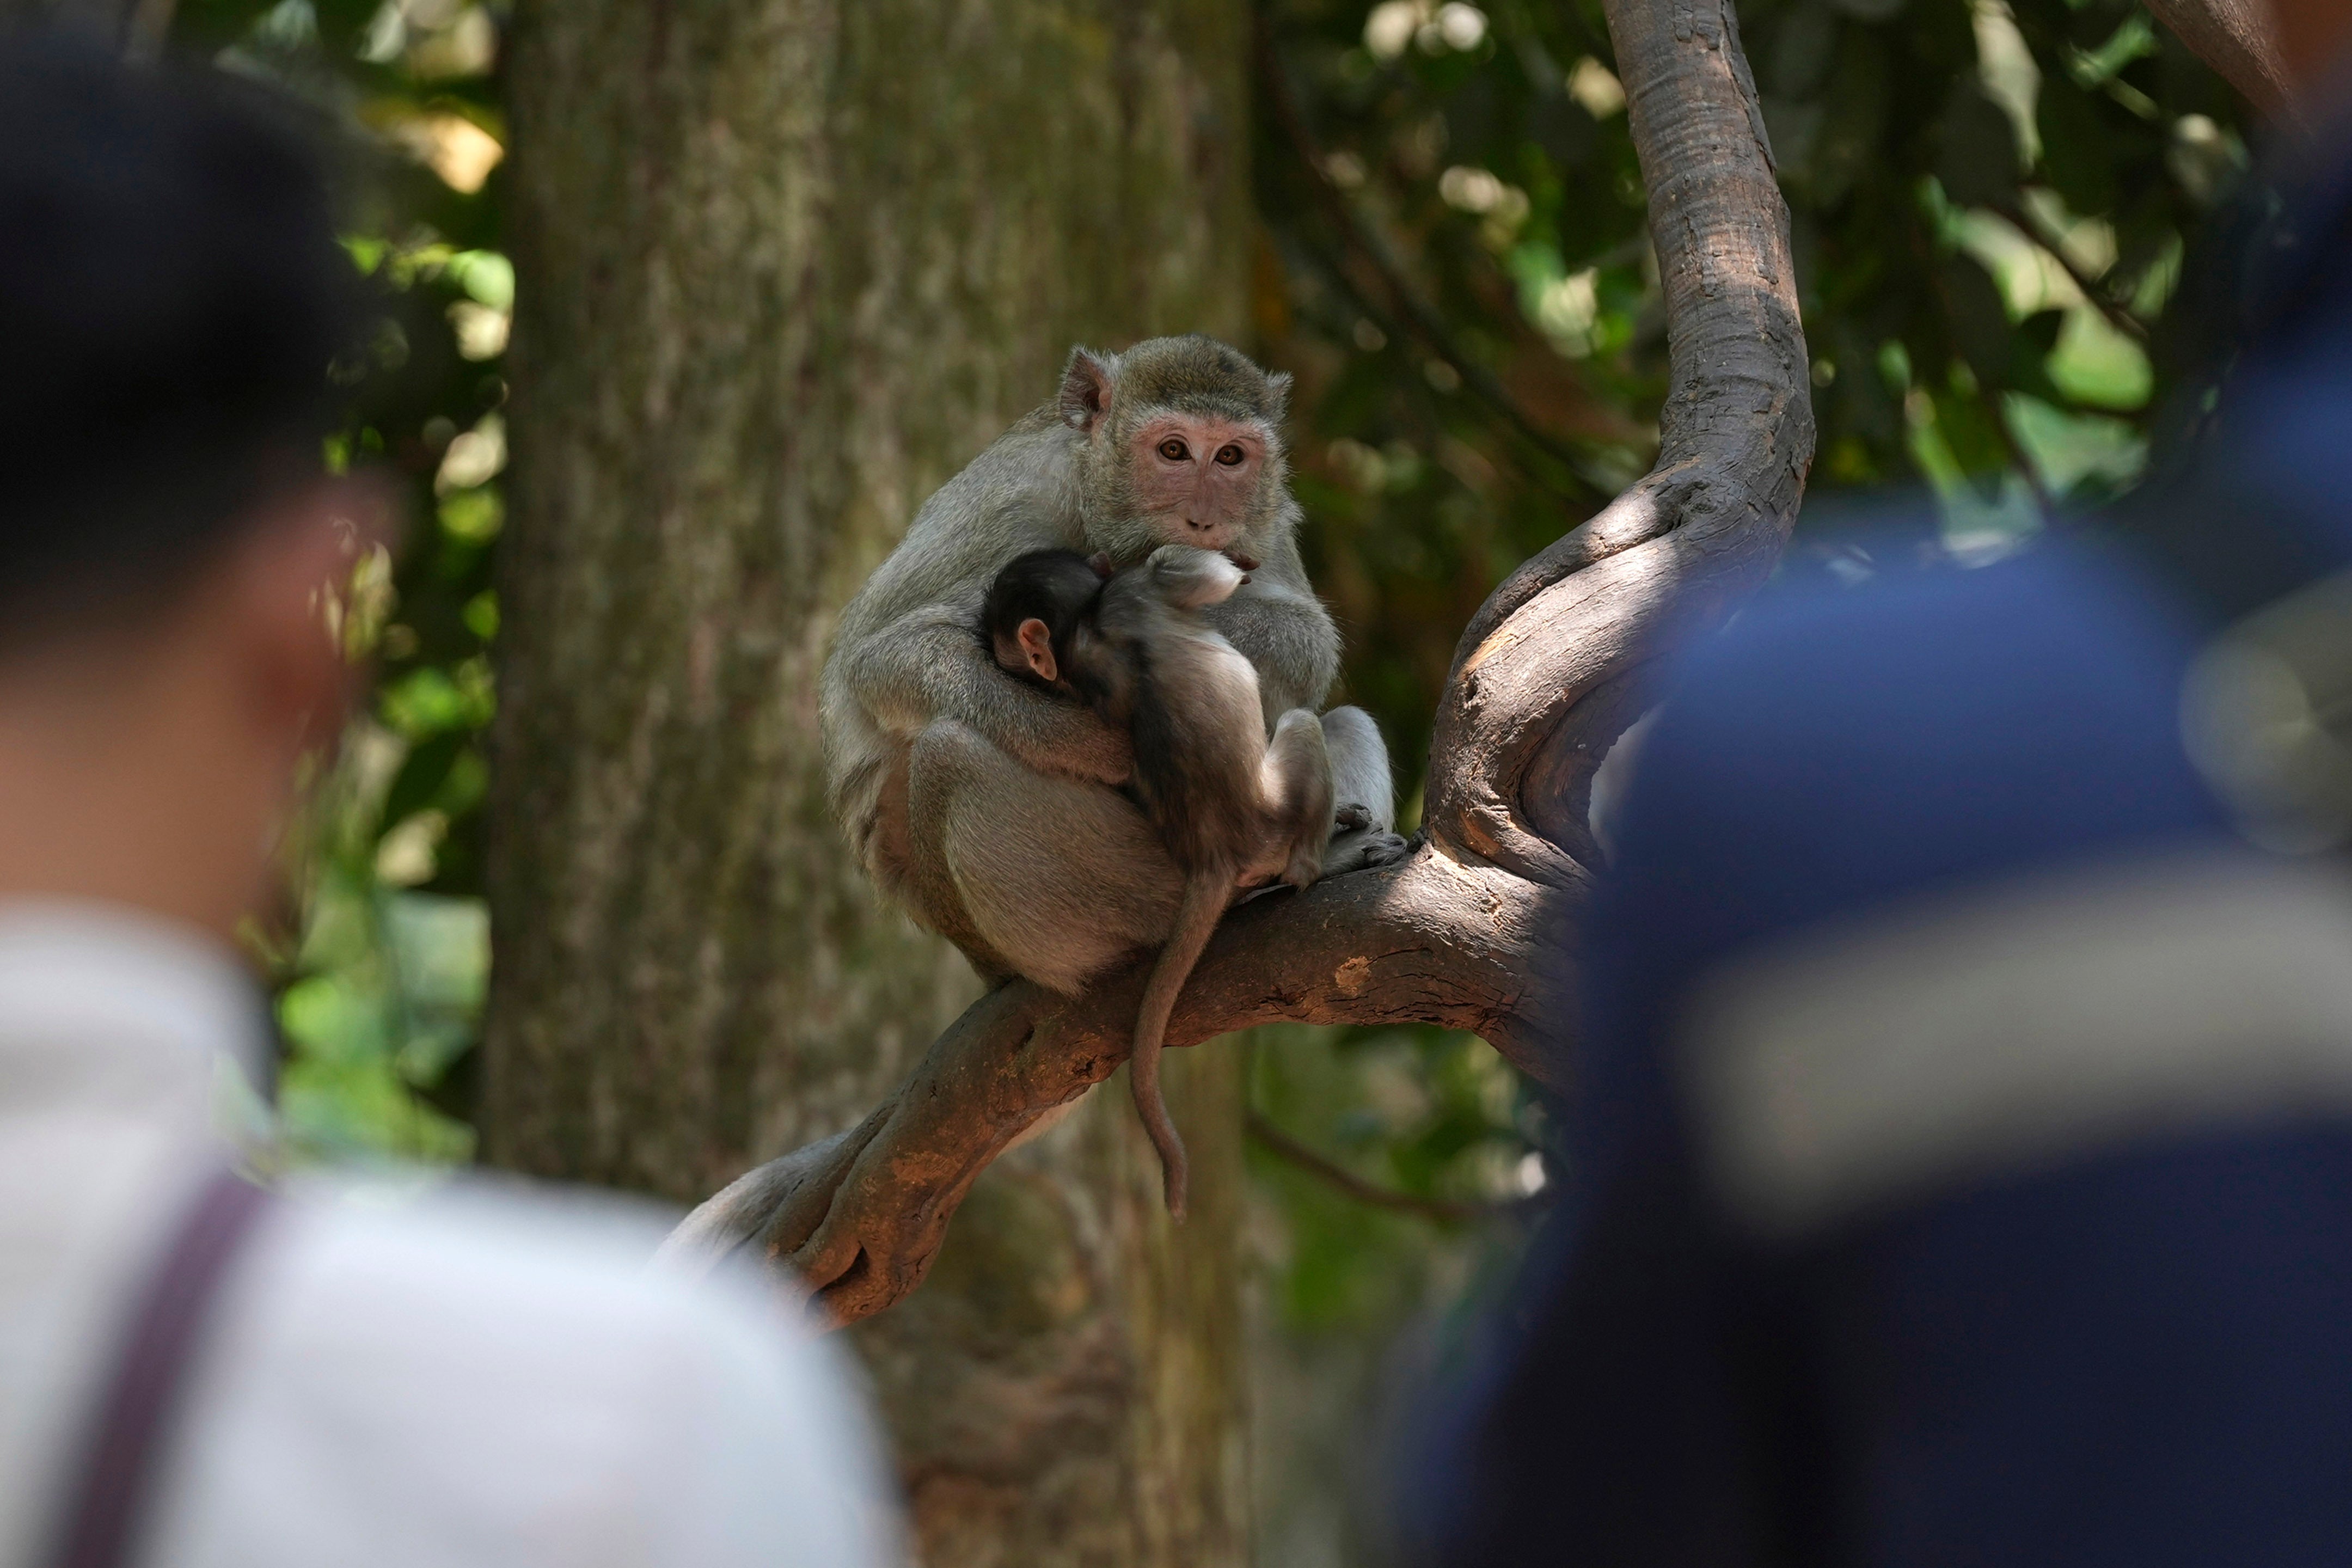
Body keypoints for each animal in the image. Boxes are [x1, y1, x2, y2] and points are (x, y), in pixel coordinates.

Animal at [823, 336, 1392, 1001]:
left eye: (1231, 457)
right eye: (1173, 451)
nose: (1205, 520)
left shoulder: (1268, 515)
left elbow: (1307, 637)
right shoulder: (1013, 511)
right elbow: (888, 656)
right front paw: (1107, 745)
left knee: (1343, 719)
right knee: (950, 755)